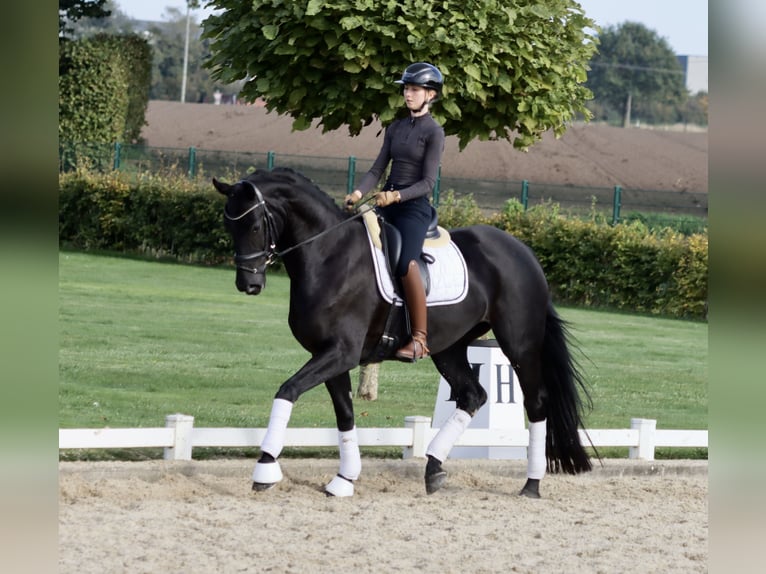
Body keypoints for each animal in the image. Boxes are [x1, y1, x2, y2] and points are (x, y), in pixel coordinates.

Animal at [214, 168, 592, 500]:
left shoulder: (340, 352)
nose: (248, 284)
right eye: (229, 224)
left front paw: (265, 470)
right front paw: (344, 480)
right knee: (473, 396)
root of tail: (524, 252)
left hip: (519, 344)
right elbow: (345, 415)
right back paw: (434, 469)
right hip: (449, 347)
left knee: (536, 402)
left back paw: (531, 484)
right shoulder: (329, 355)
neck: (330, 255)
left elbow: (287, 391)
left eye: (254, 224)